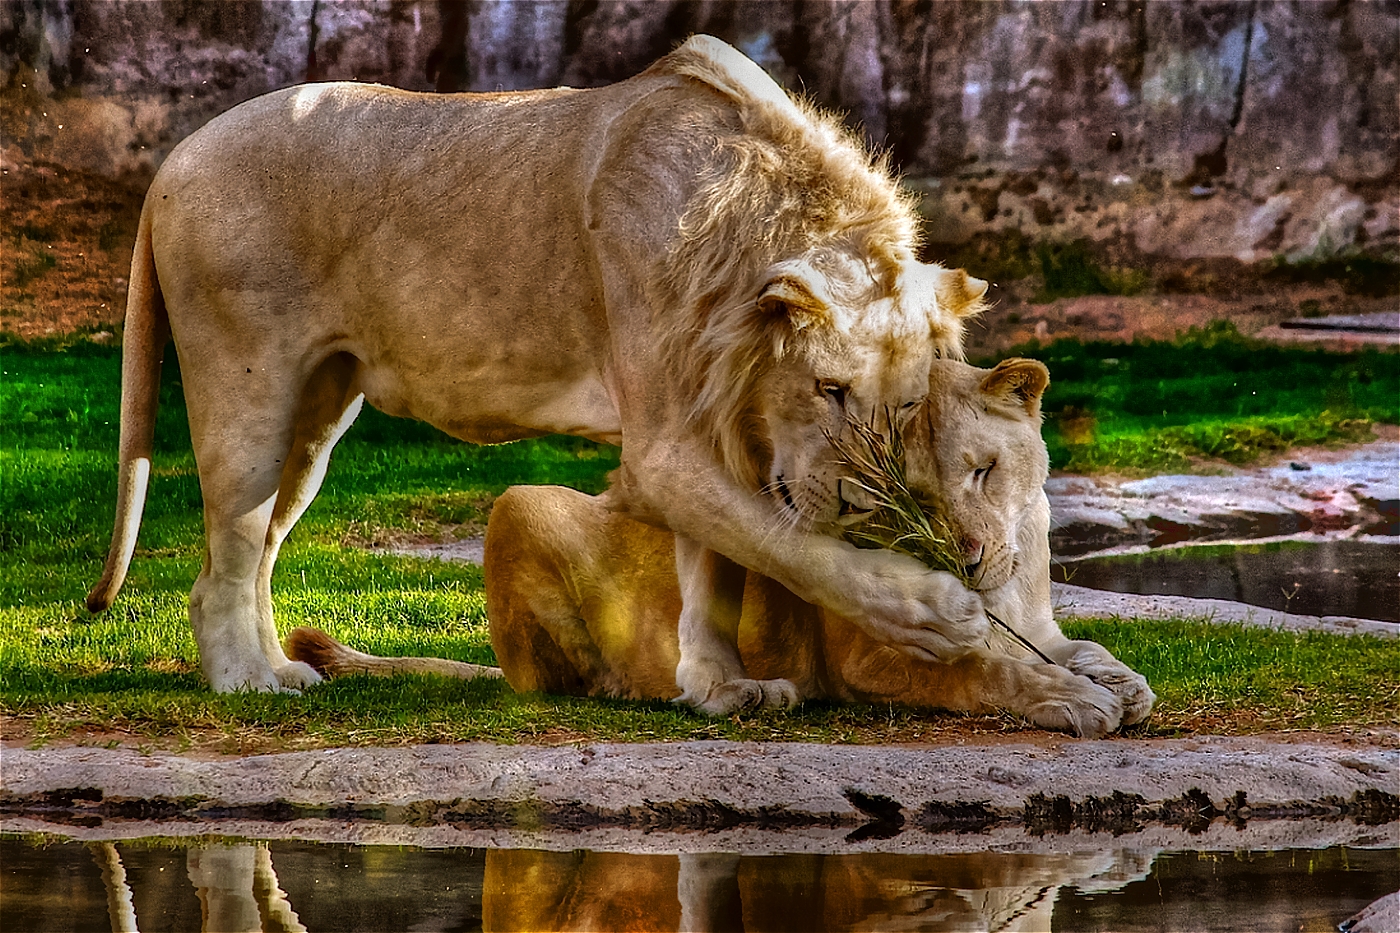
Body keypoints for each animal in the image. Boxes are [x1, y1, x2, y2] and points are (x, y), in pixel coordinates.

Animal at [87, 39, 991, 700]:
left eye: (907, 409)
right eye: (829, 391)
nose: (862, 504)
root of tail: (173, 157)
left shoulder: (713, 419)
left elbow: (720, 564)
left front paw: (720, 688)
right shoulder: (662, 447)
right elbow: (789, 546)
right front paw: (938, 612)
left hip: (316, 416)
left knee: (256, 551)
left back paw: (282, 666)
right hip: (247, 386)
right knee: (225, 561)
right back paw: (247, 684)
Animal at [287, 355, 1159, 734]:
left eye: (983, 469)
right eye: (911, 494)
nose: (968, 561)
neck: (1008, 580)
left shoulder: (1034, 621)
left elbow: (1074, 647)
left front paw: (1120, 679)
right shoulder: (870, 656)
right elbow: (984, 670)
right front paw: (1078, 700)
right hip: (520, 501)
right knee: (576, 681)